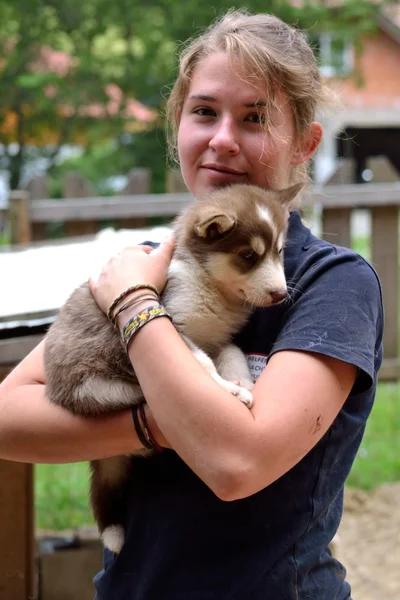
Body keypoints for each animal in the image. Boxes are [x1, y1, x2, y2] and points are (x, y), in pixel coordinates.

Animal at [44, 183, 300, 552]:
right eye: (248, 256)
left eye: (280, 252)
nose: (281, 294)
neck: (210, 285)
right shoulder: (176, 325)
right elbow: (203, 364)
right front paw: (232, 391)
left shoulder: (217, 338)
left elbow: (232, 353)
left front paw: (243, 382)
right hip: (97, 385)